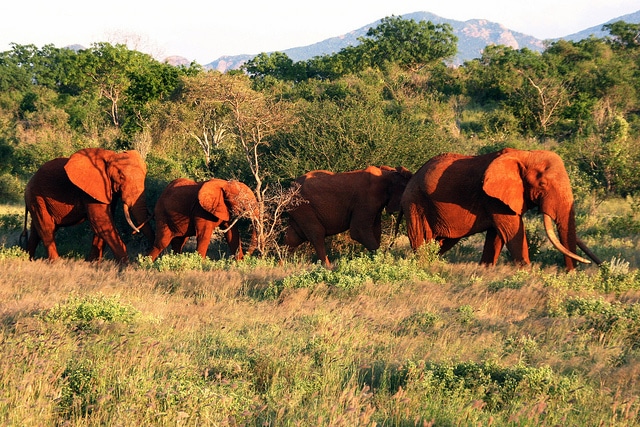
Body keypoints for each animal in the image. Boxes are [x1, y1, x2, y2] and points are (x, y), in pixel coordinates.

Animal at [23, 148, 154, 264]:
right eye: (121, 177)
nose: (135, 232)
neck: (112, 156)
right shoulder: (90, 190)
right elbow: (100, 222)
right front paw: (126, 266)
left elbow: (103, 222)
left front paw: (92, 264)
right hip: (36, 197)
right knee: (47, 228)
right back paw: (56, 263)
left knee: (36, 230)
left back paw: (28, 259)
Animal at [284, 165, 412, 268]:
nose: (389, 250)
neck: (388, 174)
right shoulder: (366, 199)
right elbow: (358, 231)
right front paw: (380, 260)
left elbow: (376, 230)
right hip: (303, 207)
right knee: (317, 234)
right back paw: (328, 267)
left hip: (298, 210)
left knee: (293, 237)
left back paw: (281, 263)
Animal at [400, 149, 600, 272]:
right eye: (542, 184)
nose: (570, 274)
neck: (525, 155)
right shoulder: (493, 198)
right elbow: (512, 232)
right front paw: (527, 273)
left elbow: (496, 236)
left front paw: (485, 269)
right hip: (415, 202)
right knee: (422, 239)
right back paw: (424, 265)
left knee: (442, 242)